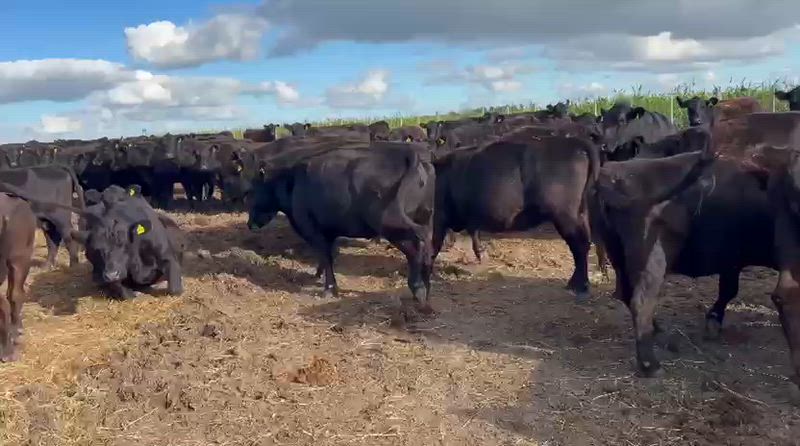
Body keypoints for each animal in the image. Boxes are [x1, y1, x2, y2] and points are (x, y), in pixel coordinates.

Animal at [248, 142, 435, 326]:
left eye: (252, 191)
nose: (250, 224)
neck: (291, 180)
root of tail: (405, 154)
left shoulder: (312, 229)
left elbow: (325, 256)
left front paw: (329, 288)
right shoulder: (329, 232)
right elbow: (327, 256)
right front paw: (318, 276)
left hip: (392, 226)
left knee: (415, 250)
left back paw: (418, 289)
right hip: (424, 218)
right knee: (427, 249)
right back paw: (426, 288)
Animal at [431, 128, 600, 300]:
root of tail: (573, 142)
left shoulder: (437, 219)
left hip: (565, 216)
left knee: (579, 245)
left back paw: (579, 287)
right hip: (579, 213)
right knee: (583, 244)